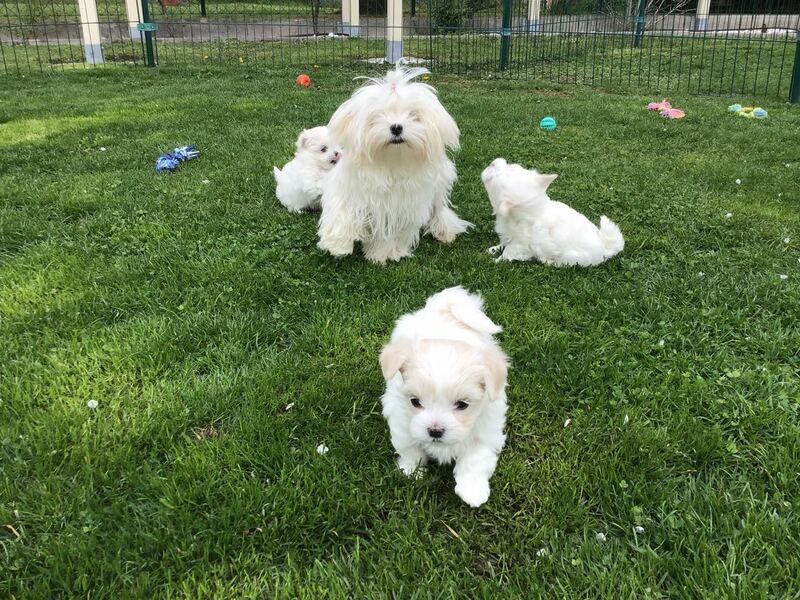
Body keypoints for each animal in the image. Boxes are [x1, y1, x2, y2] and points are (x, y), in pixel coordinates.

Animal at [317, 66, 472, 264]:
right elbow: (341, 210)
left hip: (438, 186)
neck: (391, 162)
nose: (396, 127)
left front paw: (383, 254)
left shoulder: (401, 208)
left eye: (413, 115)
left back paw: (445, 231)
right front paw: (337, 244)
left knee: (439, 208)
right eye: (377, 116)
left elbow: (390, 233)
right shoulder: (349, 186)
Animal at [379, 287, 509, 507]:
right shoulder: (403, 422)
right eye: (415, 402)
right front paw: (411, 472)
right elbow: (410, 449)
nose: (435, 430)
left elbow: (476, 459)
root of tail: (444, 305)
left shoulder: (486, 431)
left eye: (462, 405)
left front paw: (473, 490)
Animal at [481, 158, 624, 266]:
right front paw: (494, 249)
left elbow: (508, 253)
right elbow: (503, 243)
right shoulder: (508, 234)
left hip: (572, 259)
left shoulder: (520, 244)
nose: (493, 162)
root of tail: (604, 249)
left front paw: (495, 261)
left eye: (491, 179)